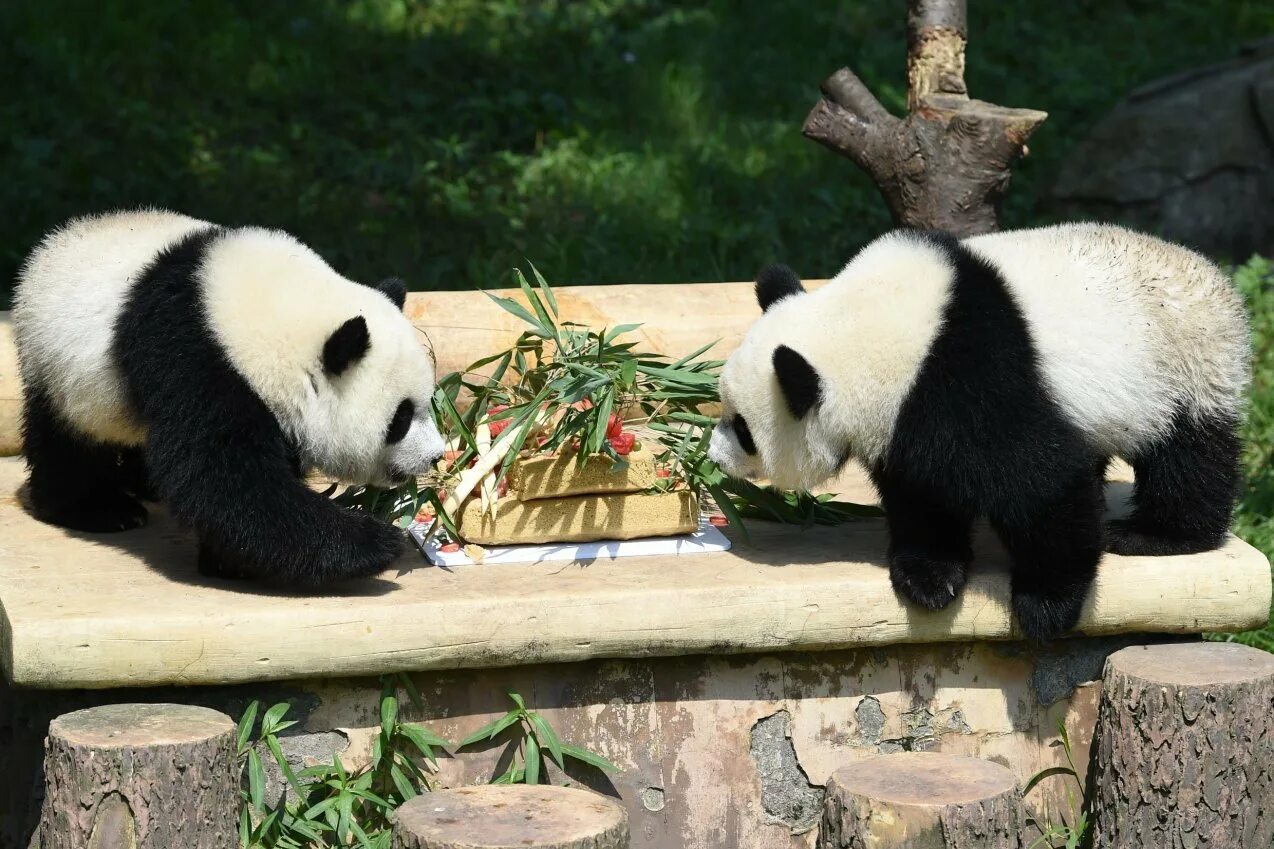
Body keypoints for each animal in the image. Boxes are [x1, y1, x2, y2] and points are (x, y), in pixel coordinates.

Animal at [9, 207, 445, 586]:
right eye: (401, 418)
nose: (435, 456)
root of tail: (53, 242)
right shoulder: (195, 356)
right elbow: (223, 477)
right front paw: (376, 540)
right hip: (60, 368)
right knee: (67, 442)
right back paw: (98, 508)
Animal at [713, 221, 1248, 637]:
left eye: (744, 429)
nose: (714, 457)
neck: (858, 328)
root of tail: (1220, 282)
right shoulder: (908, 418)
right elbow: (924, 493)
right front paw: (930, 579)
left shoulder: (969, 379)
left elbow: (1041, 484)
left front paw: (1046, 606)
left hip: (1186, 369)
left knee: (1189, 460)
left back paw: (1154, 535)